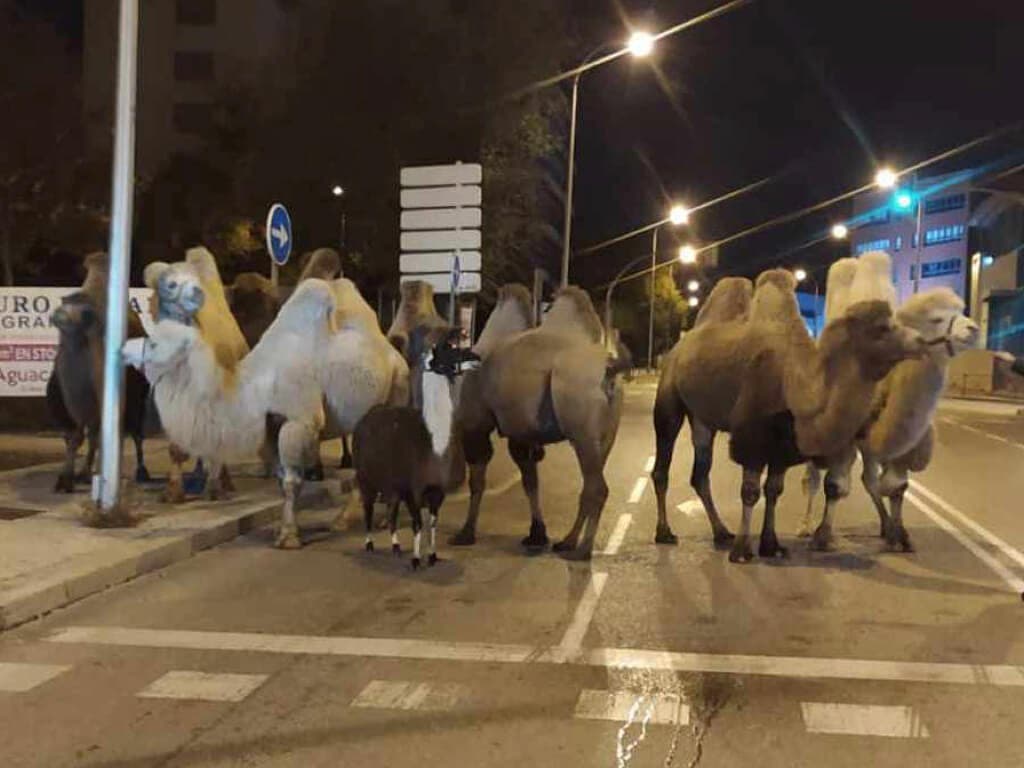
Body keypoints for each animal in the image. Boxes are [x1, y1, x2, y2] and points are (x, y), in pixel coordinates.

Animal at [450, 286, 622, 561]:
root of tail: (610, 371)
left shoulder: (475, 424)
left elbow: (478, 480)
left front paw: (465, 533)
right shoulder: (522, 432)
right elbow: (530, 479)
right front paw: (537, 534)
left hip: (582, 430)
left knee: (597, 487)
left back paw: (583, 549)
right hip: (605, 437)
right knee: (589, 484)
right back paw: (567, 541)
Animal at [655, 270, 929, 565]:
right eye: (881, 328)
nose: (922, 341)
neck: (796, 383)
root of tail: (678, 348)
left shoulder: (784, 442)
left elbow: (774, 490)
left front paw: (771, 545)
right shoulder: (752, 437)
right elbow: (750, 492)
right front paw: (742, 551)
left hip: (702, 418)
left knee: (700, 474)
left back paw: (721, 532)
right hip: (669, 398)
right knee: (663, 464)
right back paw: (665, 533)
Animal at [802, 286, 978, 548]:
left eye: (962, 311)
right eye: (936, 319)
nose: (973, 329)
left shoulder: (902, 447)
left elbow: (895, 487)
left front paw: (900, 533)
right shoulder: (844, 439)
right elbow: (835, 486)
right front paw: (822, 535)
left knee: (869, 479)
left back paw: (886, 526)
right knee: (812, 478)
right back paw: (804, 526)